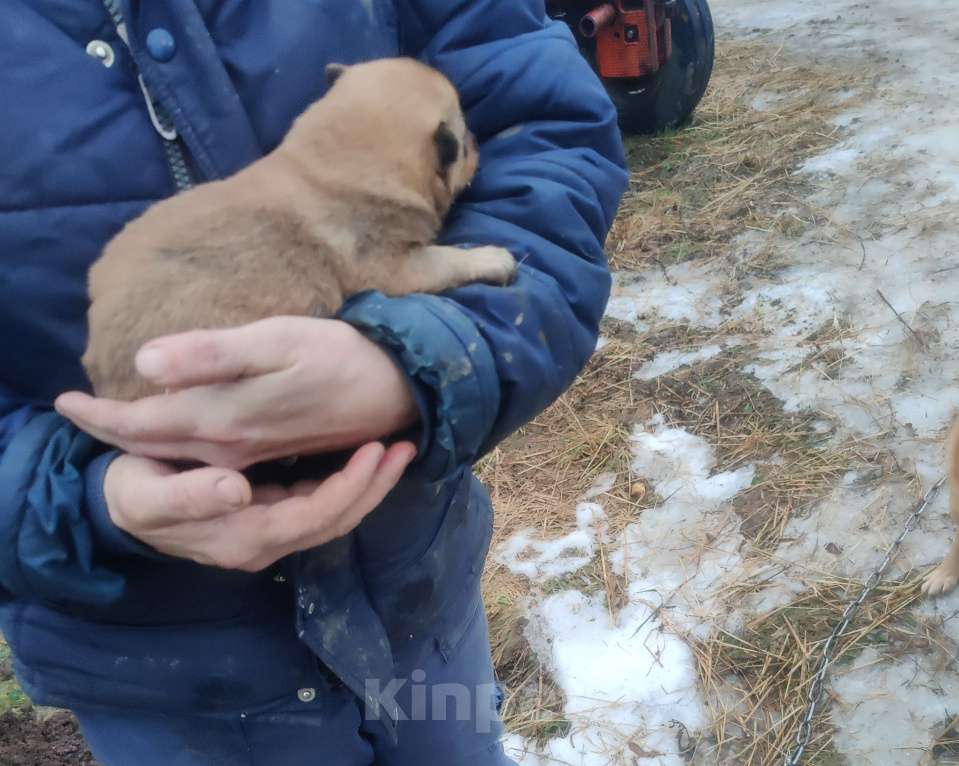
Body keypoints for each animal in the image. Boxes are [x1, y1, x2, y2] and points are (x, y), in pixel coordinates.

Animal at [82, 58, 516, 402]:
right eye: (462, 144)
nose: (476, 141)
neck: (325, 165)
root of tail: (100, 370)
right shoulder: (397, 268)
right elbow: (450, 260)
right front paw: (493, 259)